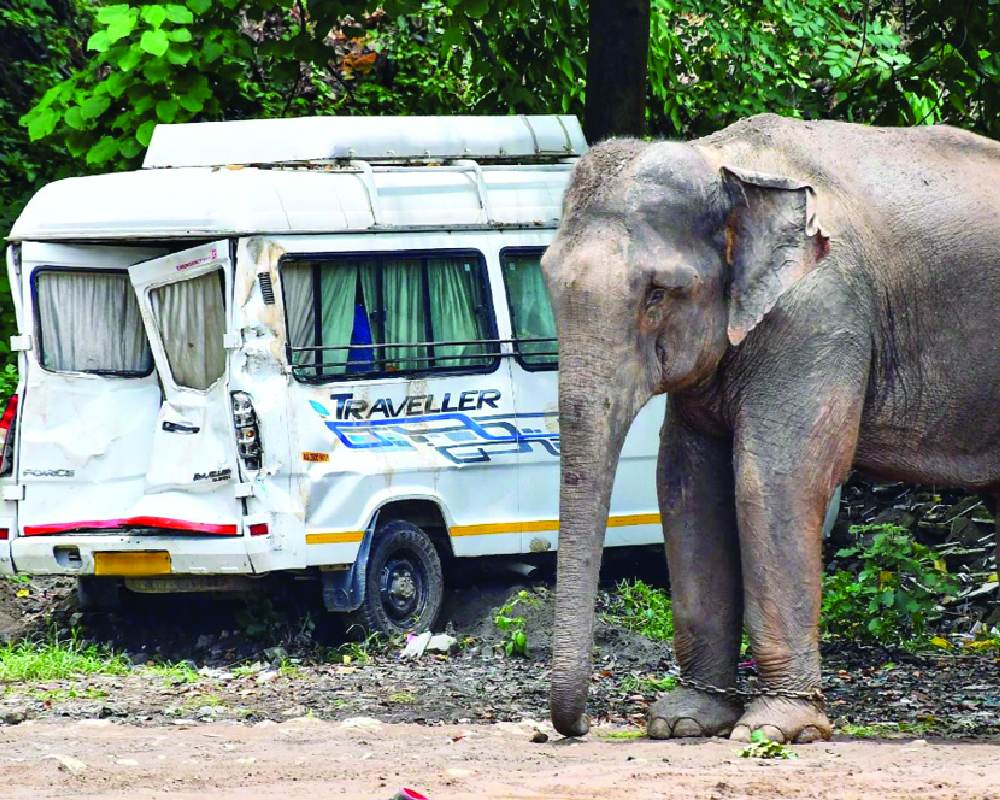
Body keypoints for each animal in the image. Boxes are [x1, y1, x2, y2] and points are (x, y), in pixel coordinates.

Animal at [542, 114, 1000, 744]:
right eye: (548, 283)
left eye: (657, 293)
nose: (581, 725)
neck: (726, 163)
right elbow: (686, 486)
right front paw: (685, 721)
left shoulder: (819, 313)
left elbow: (773, 481)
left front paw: (777, 730)